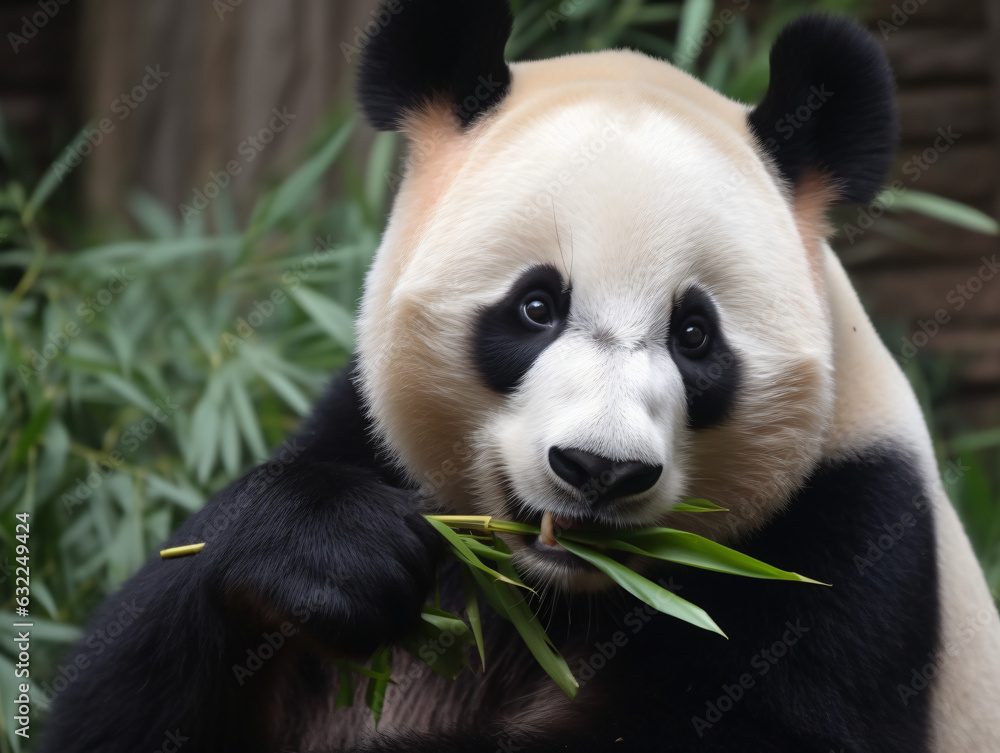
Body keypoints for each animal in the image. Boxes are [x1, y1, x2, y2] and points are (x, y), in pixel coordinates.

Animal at [39, 1, 1000, 752]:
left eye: (695, 335)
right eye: (537, 306)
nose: (601, 470)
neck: (557, 592)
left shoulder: (848, 538)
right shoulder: (367, 436)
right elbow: (116, 698)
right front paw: (336, 553)